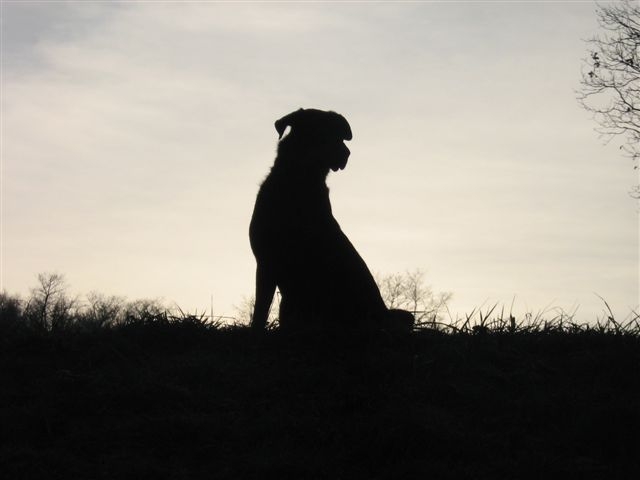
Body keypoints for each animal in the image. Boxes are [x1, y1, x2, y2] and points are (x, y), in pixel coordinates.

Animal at [248, 109, 412, 332]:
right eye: (320, 130)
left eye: (339, 135)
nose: (346, 154)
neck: (297, 181)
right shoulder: (267, 262)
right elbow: (263, 308)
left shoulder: (271, 264)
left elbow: (262, 308)